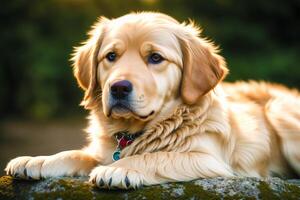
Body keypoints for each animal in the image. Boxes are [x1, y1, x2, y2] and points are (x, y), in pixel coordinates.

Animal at [4, 11, 300, 188]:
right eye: (111, 56)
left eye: (155, 57)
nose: (118, 88)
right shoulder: (100, 152)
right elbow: (74, 154)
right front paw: (35, 161)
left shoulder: (210, 160)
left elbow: (158, 157)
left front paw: (120, 169)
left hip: (279, 111)